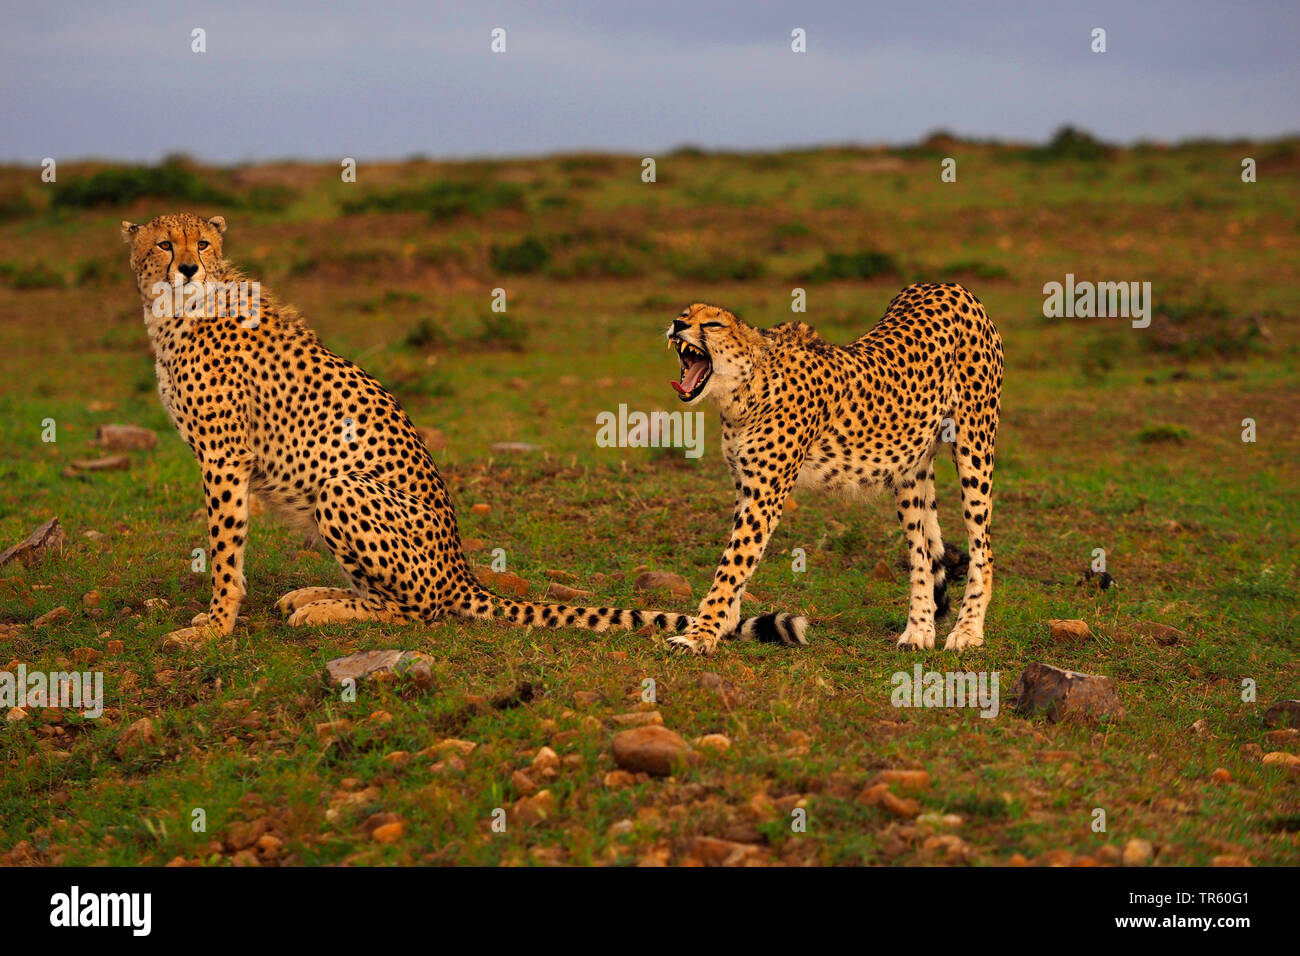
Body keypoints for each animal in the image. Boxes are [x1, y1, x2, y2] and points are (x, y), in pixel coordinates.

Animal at [119, 215, 800, 647]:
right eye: (163, 243)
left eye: (204, 243)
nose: (186, 267)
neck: (174, 313)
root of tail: (462, 569)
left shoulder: (222, 457)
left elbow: (225, 549)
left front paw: (213, 624)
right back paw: (313, 595)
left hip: (343, 487)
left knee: (418, 611)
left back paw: (320, 610)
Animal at [660, 283, 1003, 658]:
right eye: (685, 314)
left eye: (713, 324)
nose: (677, 324)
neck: (745, 391)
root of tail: (946, 286)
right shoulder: (745, 487)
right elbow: (739, 561)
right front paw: (724, 624)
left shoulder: (765, 496)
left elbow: (732, 564)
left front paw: (701, 633)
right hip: (910, 470)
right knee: (921, 556)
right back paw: (919, 630)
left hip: (975, 447)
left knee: (982, 549)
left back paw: (968, 630)